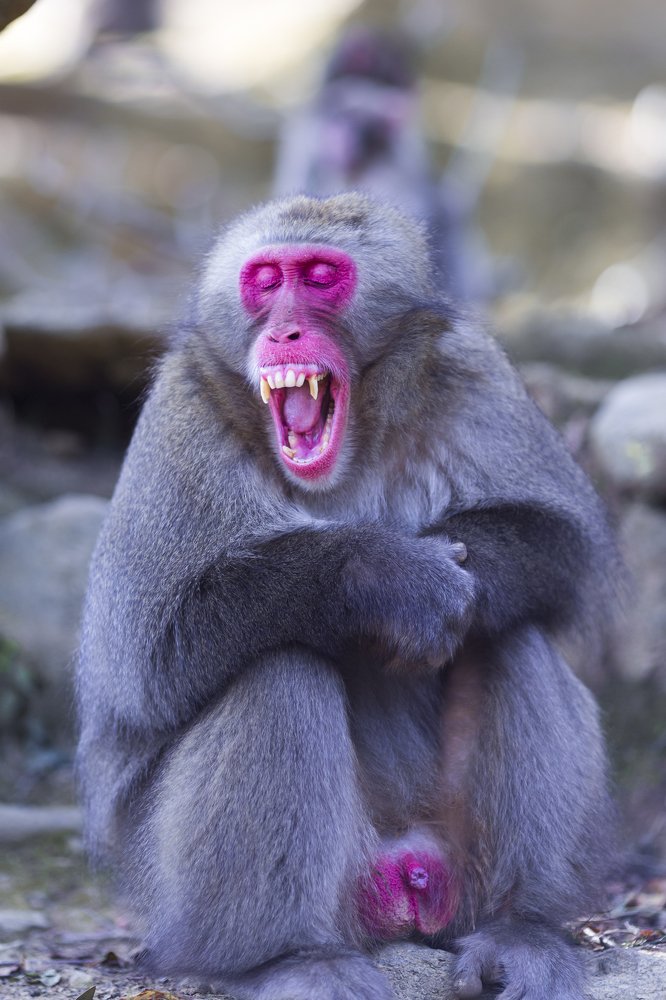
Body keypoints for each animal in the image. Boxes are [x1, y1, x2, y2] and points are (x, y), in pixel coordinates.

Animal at [76, 193, 618, 1000]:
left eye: (321, 276)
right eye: (266, 279)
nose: (285, 331)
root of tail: (403, 878)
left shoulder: (468, 364)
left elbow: (562, 545)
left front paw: (452, 577)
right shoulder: (180, 414)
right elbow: (147, 653)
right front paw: (391, 578)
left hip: (449, 869)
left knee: (508, 632)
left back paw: (519, 929)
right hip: (177, 894)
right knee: (278, 669)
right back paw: (290, 957)